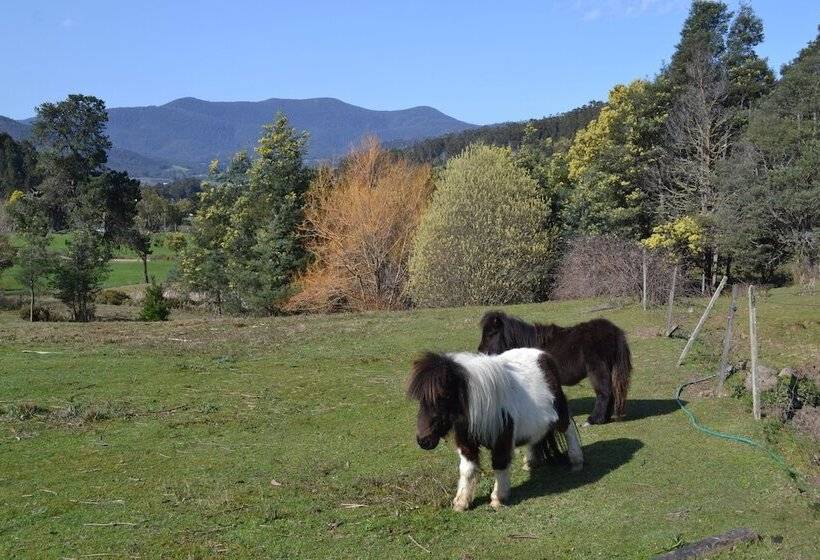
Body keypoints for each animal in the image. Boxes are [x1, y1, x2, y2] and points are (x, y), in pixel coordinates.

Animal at [407, 348, 583, 511]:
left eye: (444, 396)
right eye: (421, 399)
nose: (423, 440)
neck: (481, 405)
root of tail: (544, 355)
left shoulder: (502, 441)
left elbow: (499, 465)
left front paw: (498, 498)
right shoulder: (466, 444)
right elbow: (466, 470)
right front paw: (461, 502)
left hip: (560, 414)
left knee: (569, 431)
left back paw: (576, 461)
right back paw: (530, 462)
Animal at [478, 311, 632, 425]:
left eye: (491, 334)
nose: (480, 352)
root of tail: (614, 331)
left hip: (598, 369)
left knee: (605, 392)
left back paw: (594, 420)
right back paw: (604, 419)